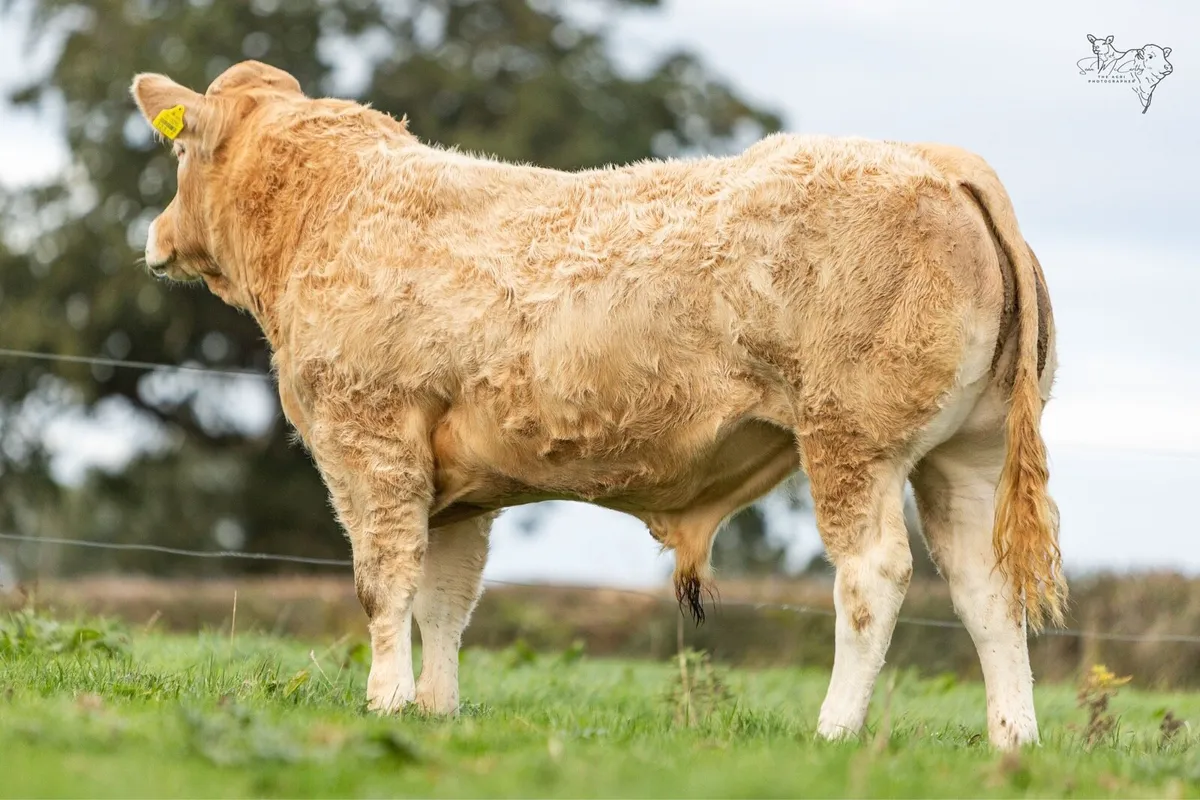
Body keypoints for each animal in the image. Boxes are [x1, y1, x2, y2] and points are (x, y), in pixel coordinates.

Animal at [129, 60, 1064, 751]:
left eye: (178, 157)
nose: (155, 237)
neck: (325, 211)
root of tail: (937, 158)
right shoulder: (457, 484)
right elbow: (445, 598)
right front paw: (437, 710)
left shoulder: (369, 439)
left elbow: (384, 582)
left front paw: (385, 701)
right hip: (966, 454)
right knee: (986, 587)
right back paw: (1014, 739)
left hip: (852, 438)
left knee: (874, 575)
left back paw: (835, 730)